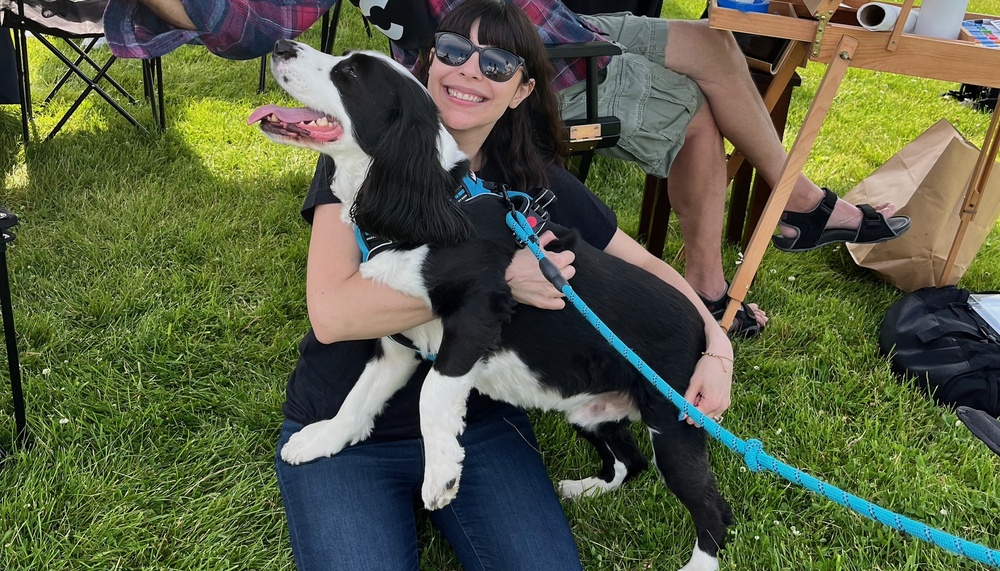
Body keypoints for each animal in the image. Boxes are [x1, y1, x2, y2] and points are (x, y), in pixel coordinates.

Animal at [250, 41, 732, 571]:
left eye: (351, 75)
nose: (280, 47)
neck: (433, 210)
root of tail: (700, 325)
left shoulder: (478, 311)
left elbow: (431, 394)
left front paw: (440, 475)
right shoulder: (396, 347)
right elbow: (359, 398)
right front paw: (321, 439)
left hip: (673, 422)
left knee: (713, 508)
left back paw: (697, 562)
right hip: (592, 411)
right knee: (630, 459)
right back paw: (586, 489)